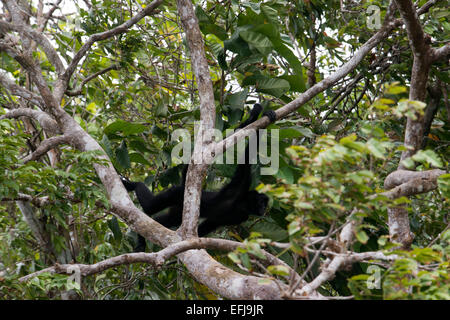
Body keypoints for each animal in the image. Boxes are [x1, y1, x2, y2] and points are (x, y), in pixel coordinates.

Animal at [121, 104, 276, 251]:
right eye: (261, 202)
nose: (263, 209)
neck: (242, 204)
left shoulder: (239, 217)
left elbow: (206, 227)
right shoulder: (240, 185)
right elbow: (247, 155)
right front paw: (259, 115)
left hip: (178, 209)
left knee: (165, 220)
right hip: (177, 193)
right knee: (150, 206)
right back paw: (134, 186)